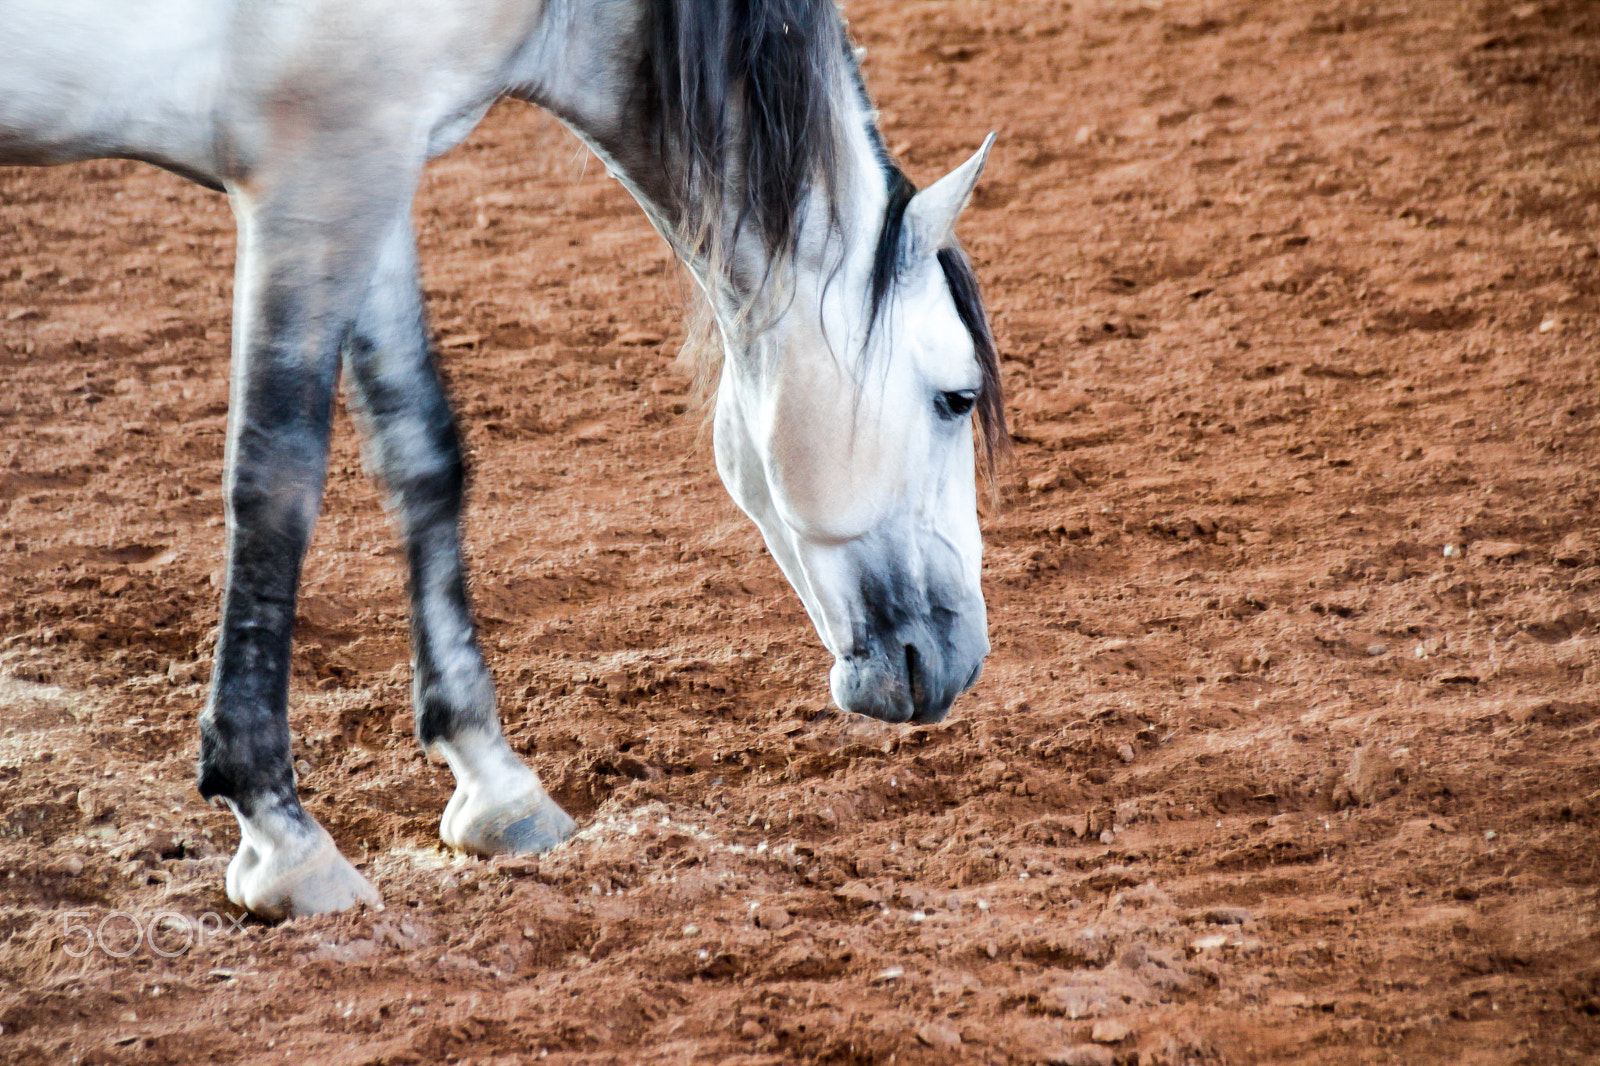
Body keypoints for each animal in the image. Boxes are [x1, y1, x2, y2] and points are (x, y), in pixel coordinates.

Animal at [0, 0, 1005, 919]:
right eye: (956, 397)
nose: (961, 659)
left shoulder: (379, 167)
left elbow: (423, 456)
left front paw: (492, 780)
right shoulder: (320, 167)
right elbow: (276, 480)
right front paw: (279, 833)